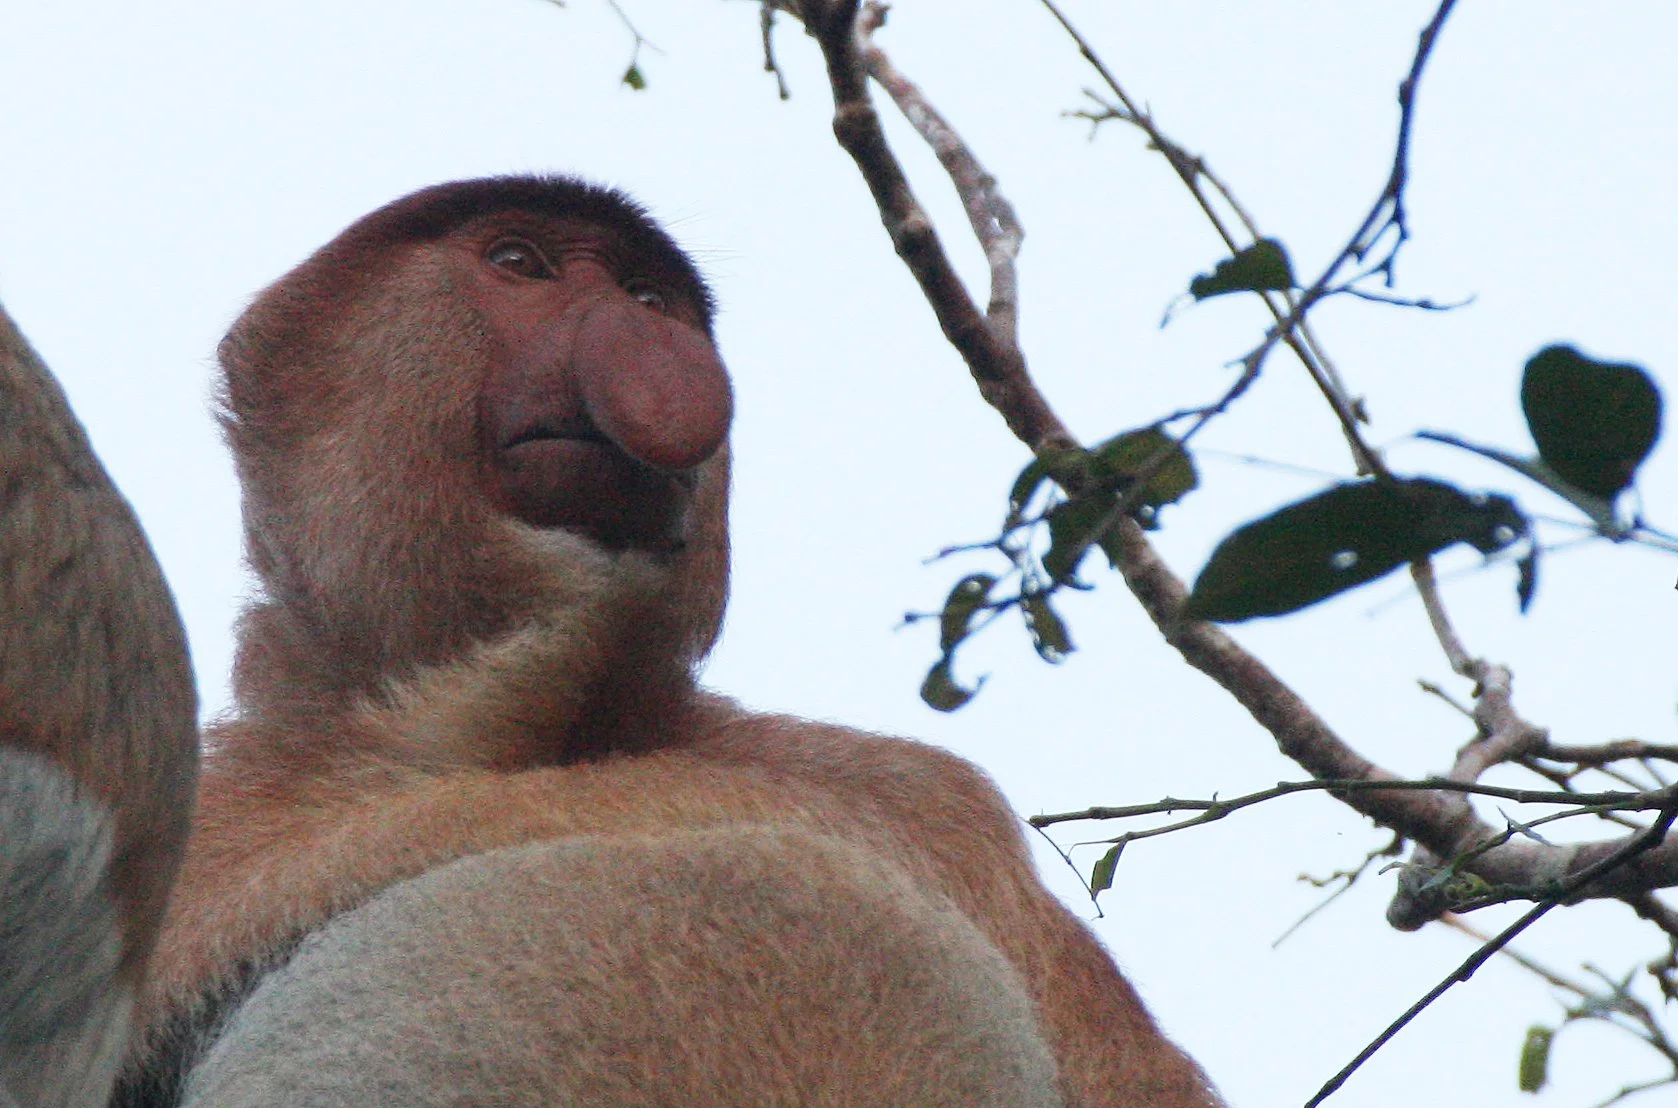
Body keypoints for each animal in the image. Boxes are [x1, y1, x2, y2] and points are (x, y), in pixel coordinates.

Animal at [1, 176, 1222, 1106]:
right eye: (521, 261)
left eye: (645, 293)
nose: (650, 340)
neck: (528, 721)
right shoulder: (215, 815)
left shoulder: (926, 798)